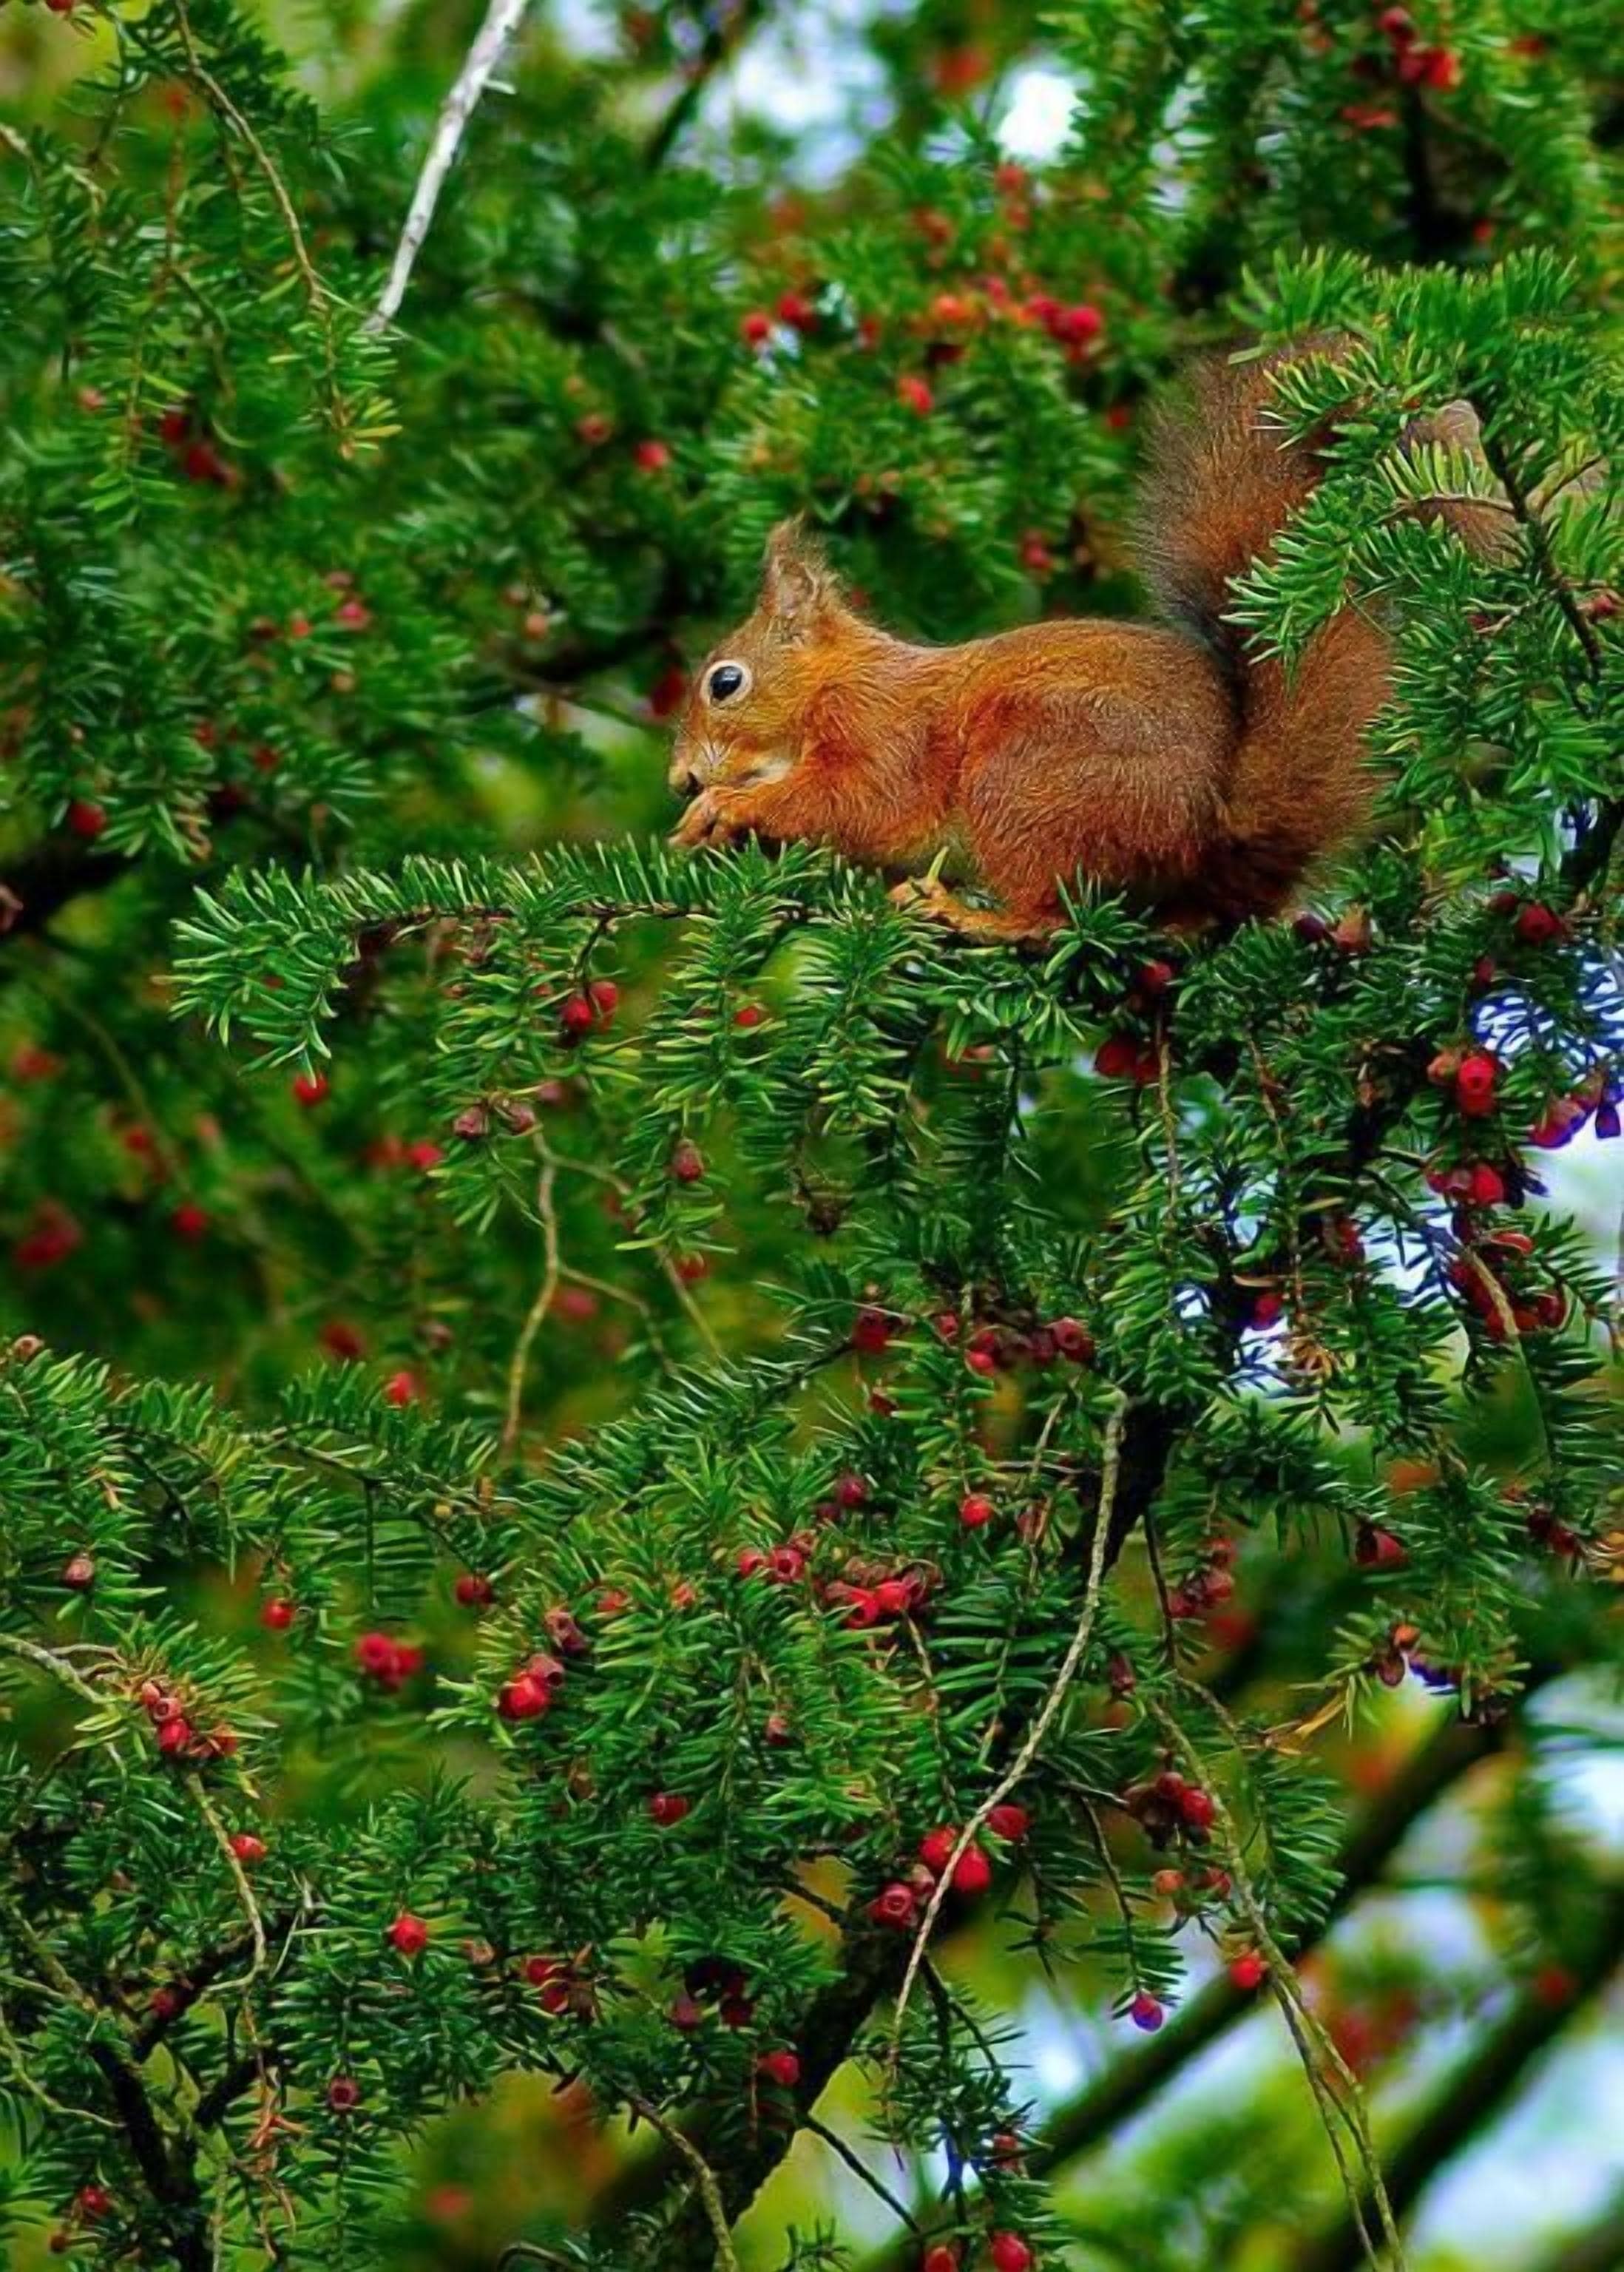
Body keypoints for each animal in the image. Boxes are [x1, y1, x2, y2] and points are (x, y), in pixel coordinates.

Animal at [668, 343, 1498, 939]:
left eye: (725, 682)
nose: (679, 778)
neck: (832, 682)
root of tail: (1214, 823)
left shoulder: (879, 725)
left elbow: (856, 801)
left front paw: (726, 808)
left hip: (1024, 777)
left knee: (1046, 919)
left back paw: (970, 916)